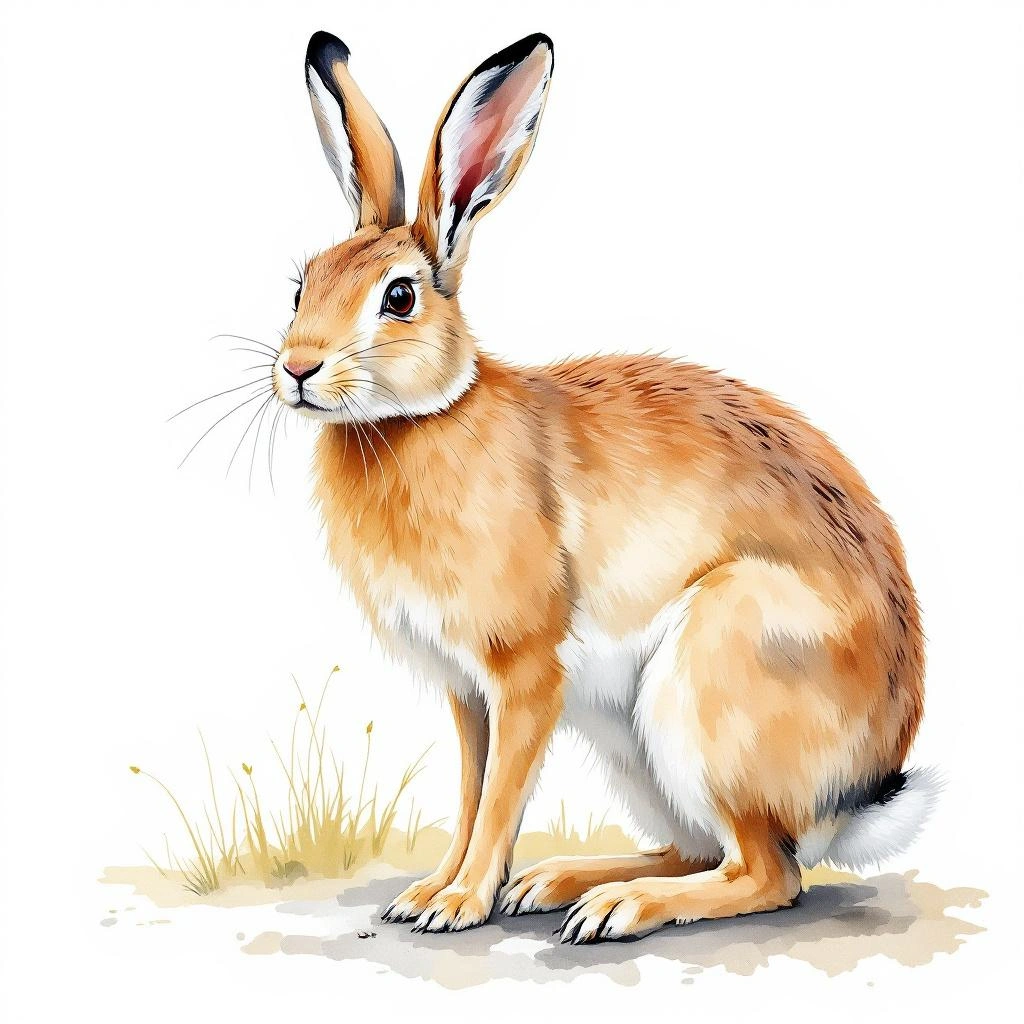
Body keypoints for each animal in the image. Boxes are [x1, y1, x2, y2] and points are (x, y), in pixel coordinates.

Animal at [266, 29, 937, 943]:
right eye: (302, 286)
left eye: (398, 297)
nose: (298, 368)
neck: (422, 418)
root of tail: (856, 792)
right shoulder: (466, 691)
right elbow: (472, 789)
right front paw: (430, 893)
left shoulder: (525, 673)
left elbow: (501, 795)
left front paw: (458, 905)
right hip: (636, 748)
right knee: (704, 849)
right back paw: (562, 883)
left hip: (710, 677)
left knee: (768, 872)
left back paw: (618, 908)